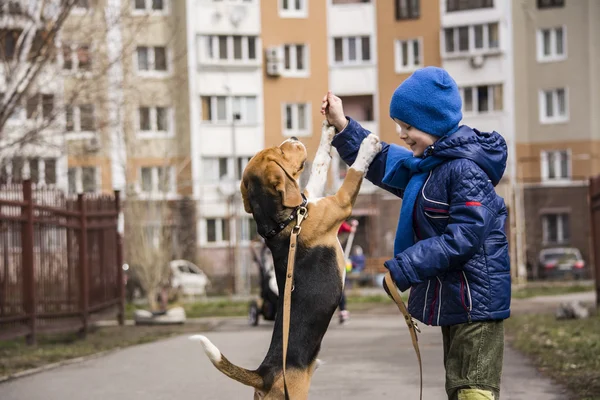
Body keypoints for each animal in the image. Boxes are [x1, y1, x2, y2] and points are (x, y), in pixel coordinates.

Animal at [191, 122, 380, 400]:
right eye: (280, 152)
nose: (293, 136)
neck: (284, 222)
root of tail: (264, 375)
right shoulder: (341, 202)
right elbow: (354, 173)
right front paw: (368, 146)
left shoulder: (310, 195)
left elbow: (320, 163)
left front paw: (328, 131)